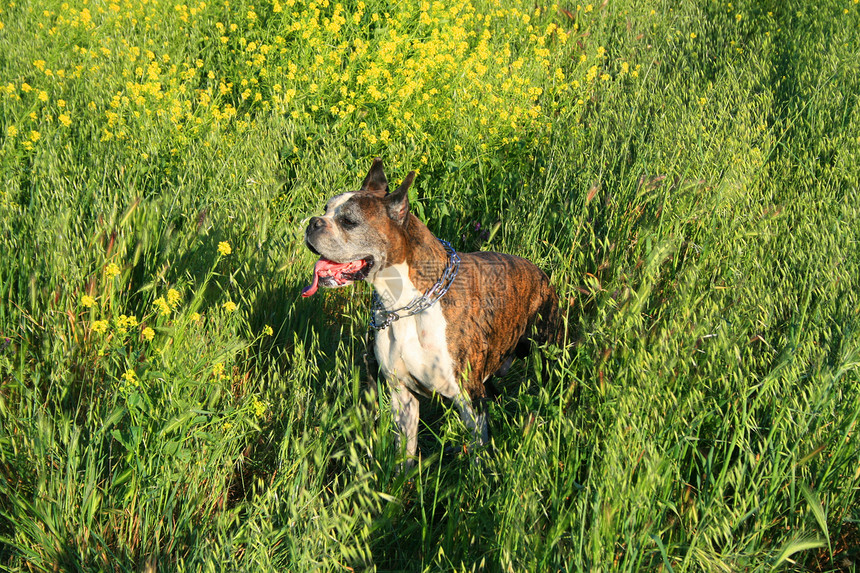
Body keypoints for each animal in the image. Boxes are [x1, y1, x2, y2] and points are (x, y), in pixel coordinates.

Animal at [300, 158, 556, 464]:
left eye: (348, 221)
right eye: (326, 209)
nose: (313, 222)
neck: (406, 305)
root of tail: (540, 273)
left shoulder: (469, 399)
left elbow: (477, 451)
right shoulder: (403, 397)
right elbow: (405, 452)